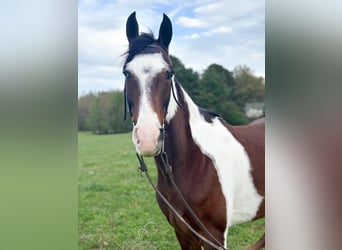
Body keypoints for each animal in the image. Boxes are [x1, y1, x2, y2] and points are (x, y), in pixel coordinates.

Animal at [122, 12, 264, 250]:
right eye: (126, 73)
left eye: (169, 73)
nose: (148, 139)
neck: (195, 160)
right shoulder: (183, 233)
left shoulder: (214, 236)